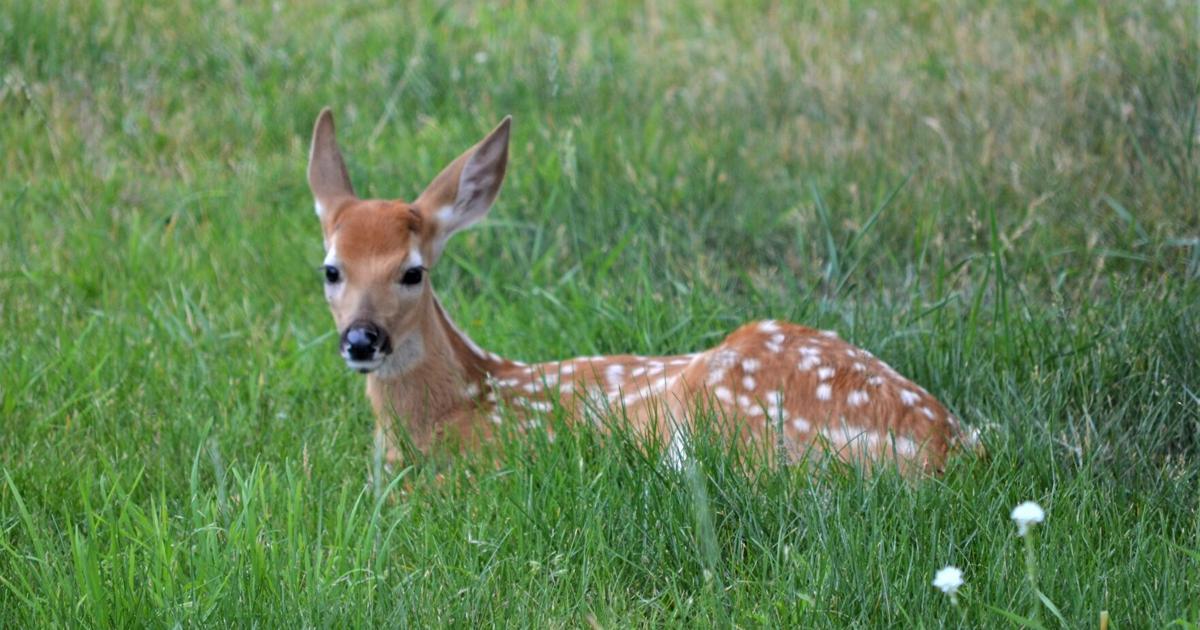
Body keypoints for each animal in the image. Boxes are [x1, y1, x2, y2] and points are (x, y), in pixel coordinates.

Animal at [305, 108, 979, 474]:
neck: (458, 403)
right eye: (331, 269)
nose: (362, 339)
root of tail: (952, 447)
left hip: (727, 418)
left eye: (412, 272)